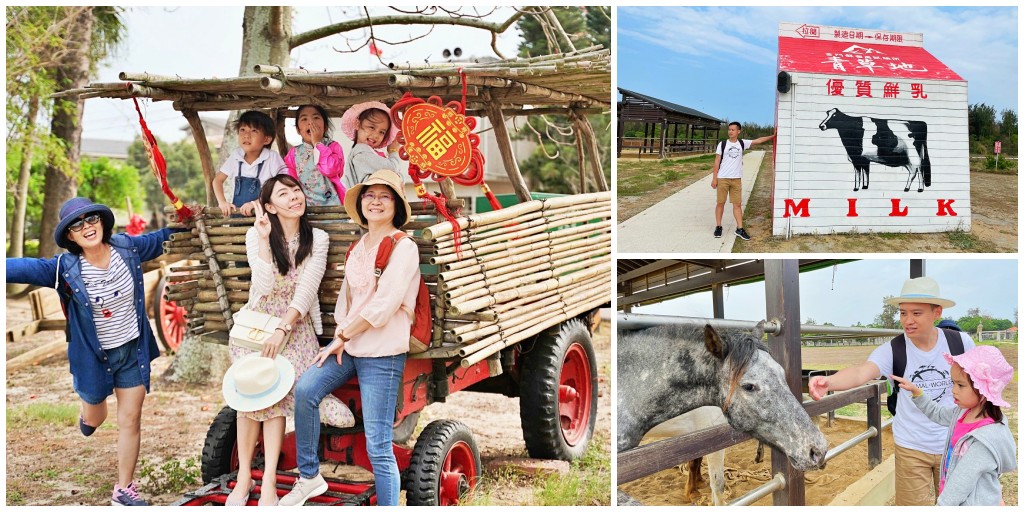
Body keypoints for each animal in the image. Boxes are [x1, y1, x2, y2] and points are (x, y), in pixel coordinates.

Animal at [610, 323, 827, 503]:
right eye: (749, 386)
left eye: (782, 374)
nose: (819, 451)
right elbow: (718, 487)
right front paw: (694, 491)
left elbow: (695, 462)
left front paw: (695, 488)